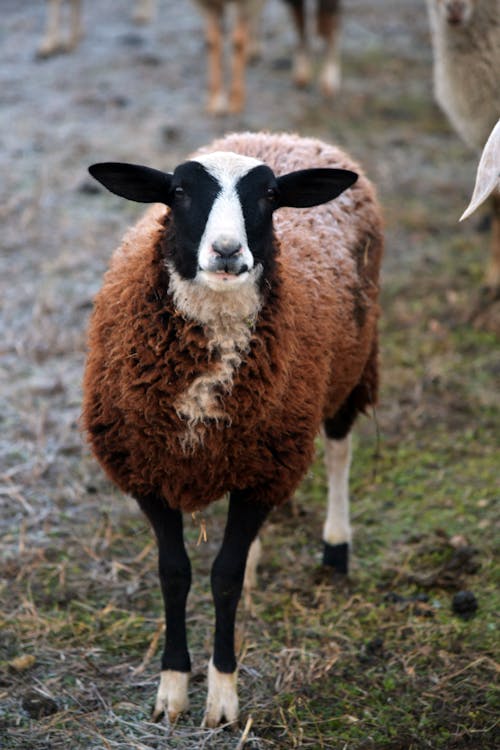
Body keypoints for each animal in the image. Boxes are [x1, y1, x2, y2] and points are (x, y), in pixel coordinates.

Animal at [83, 131, 382, 728]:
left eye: (269, 196)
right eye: (177, 192)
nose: (225, 251)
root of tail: (291, 137)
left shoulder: (266, 469)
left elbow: (223, 578)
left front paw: (222, 696)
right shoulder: (148, 469)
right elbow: (174, 573)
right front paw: (171, 690)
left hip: (350, 366)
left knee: (339, 449)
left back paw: (336, 548)